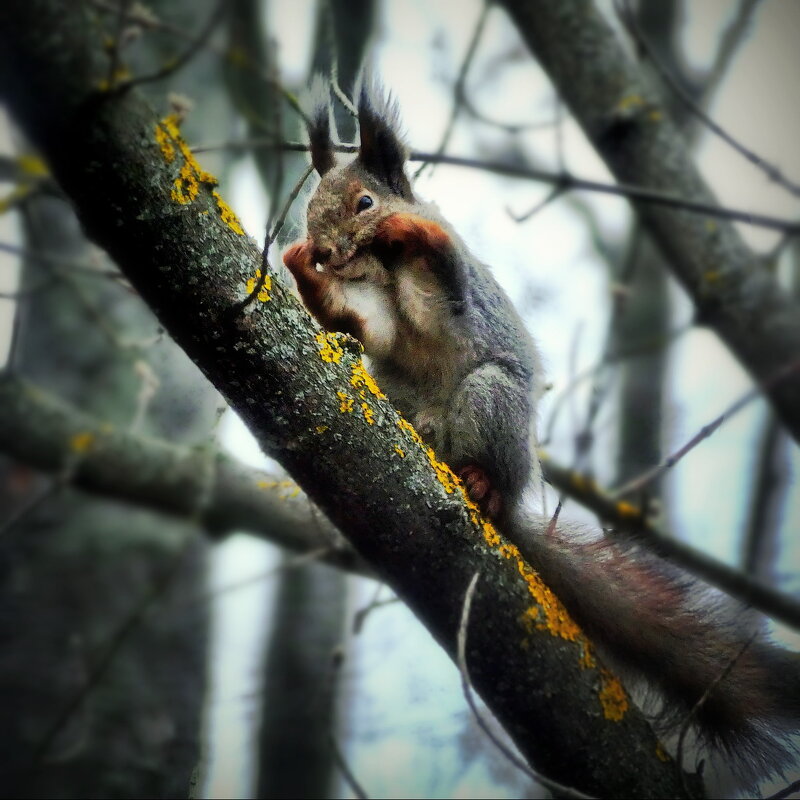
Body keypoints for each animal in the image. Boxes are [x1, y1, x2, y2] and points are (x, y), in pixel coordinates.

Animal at [282, 76, 800, 788]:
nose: (326, 250)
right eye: (310, 208)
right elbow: (366, 326)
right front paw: (307, 275)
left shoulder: (452, 287)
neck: (379, 271)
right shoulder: (376, 314)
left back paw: (482, 485)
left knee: (491, 467)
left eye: (365, 201)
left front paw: (408, 228)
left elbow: (441, 278)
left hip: (490, 395)